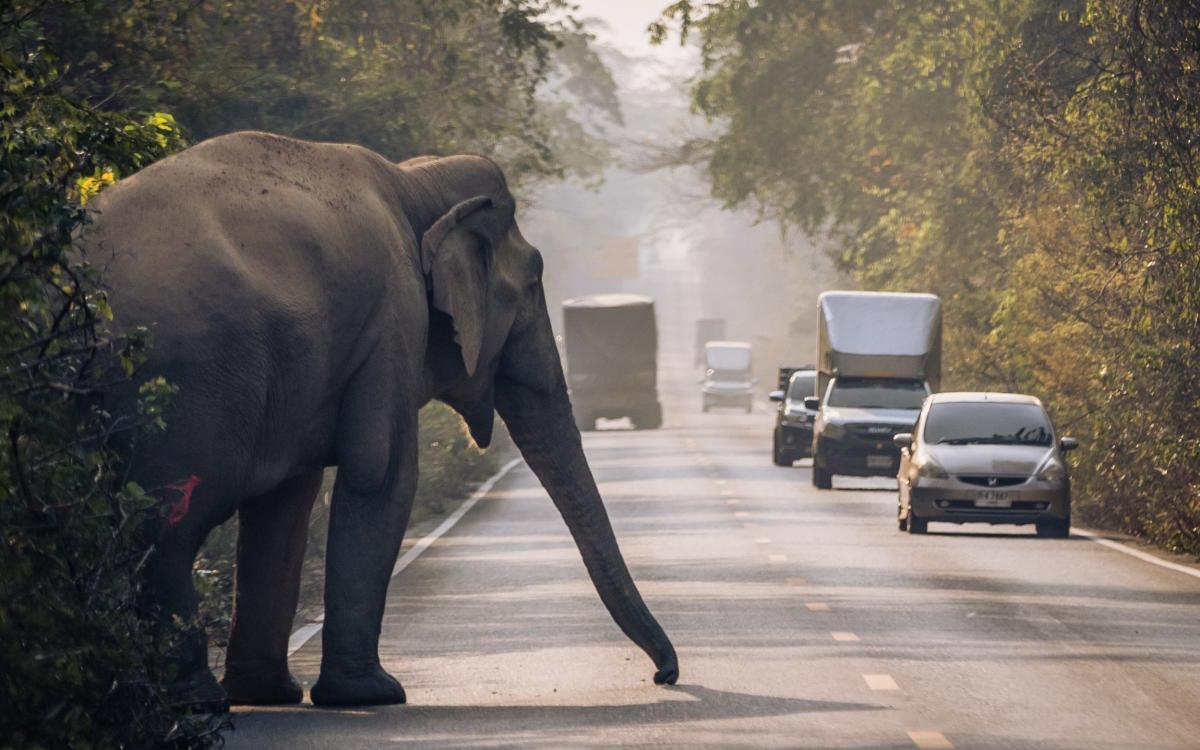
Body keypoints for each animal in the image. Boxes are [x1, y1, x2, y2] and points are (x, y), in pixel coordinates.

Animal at [83, 131, 681, 710]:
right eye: (533, 284)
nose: (664, 676)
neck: (416, 180)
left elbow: (286, 503)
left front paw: (270, 695)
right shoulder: (395, 318)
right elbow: (381, 474)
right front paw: (374, 694)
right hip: (183, 381)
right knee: (167, 532)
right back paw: (197, 705)